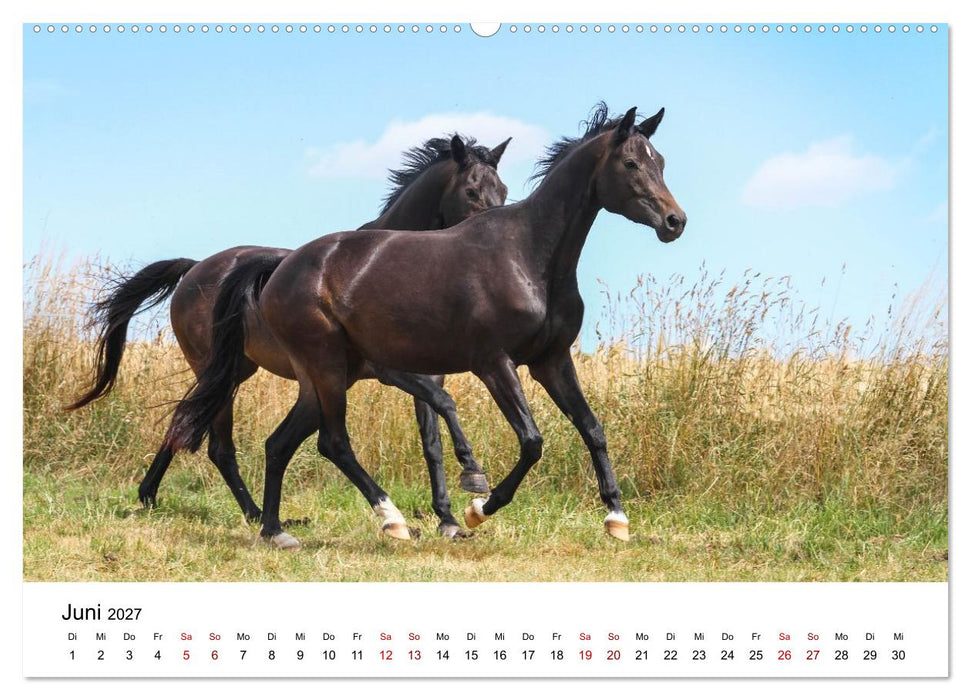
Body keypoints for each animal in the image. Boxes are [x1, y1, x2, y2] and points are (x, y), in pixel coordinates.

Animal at [68, 134, 511, 539]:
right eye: (471, 191)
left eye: (503, 190)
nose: (496, 240)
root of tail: (194, 268)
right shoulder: (392, 372)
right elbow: (445, 408)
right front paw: (471, 481)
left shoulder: (427, 375)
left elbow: (432, 441)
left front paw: (449, 519)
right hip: (227, 373)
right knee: (218, 444)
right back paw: (251, 514)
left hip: (237, 370)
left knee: (187, 421)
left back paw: (160, 496)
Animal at [167, 103, 685, 548]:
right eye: (632, 164)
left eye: (660, 161)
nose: (674, 221)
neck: (529, 255)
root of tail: (278, 269)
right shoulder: (493, 364)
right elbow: (530, 440)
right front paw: (478, 504)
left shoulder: (551, 362)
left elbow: (592, 428)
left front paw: (617, 518)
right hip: (326, 369)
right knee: (332, 443)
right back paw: (391, 520)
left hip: (322, 377)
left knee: (279, 444)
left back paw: (276, 531)